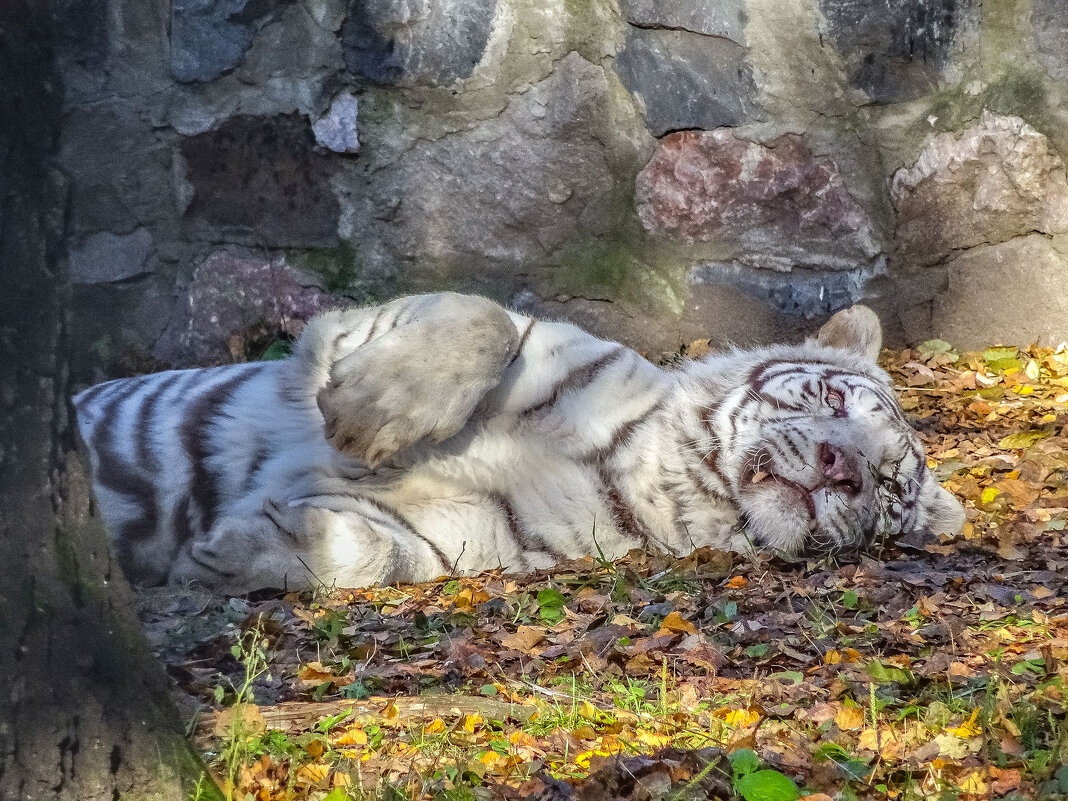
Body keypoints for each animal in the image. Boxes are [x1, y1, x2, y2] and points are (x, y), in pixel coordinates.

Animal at [73, 292, 961, 593]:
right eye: (833, 397)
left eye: (891, 484)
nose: (844, 468)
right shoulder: (367, 323)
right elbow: (483, 320)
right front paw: (367, 414)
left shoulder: (476, 533)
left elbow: (374, 551)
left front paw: (232, 551)